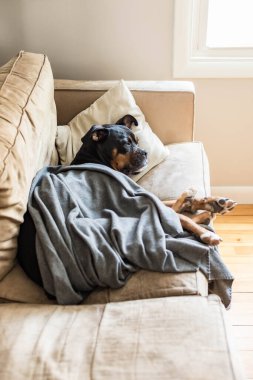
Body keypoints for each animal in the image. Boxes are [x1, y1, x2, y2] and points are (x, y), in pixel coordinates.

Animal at [71, 115, 237, 246]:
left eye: (137, 141)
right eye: (126, 143)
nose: (145, 152)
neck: (95, 159)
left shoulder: (144, 197)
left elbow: (173, 204)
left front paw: (208, 202)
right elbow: (181, 216)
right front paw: (206, 233)